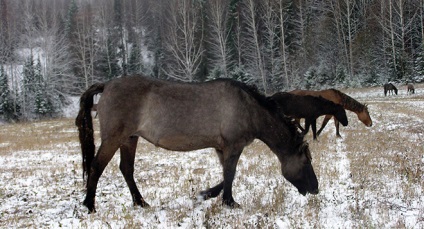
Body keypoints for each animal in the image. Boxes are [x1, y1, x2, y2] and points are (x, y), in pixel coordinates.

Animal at [75, 75, 318, 213]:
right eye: (306, 161)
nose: (315, 188)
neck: (249, 109)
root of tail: (106, 85)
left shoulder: (222, 148)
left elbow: (225, 176)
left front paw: (206, 195)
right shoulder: (233, 147)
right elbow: (231, 174)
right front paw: (229, 202)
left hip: (129, 139)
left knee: (126, 169)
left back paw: (141, 203)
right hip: (114, 138)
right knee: (96, 167)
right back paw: (89, 205)